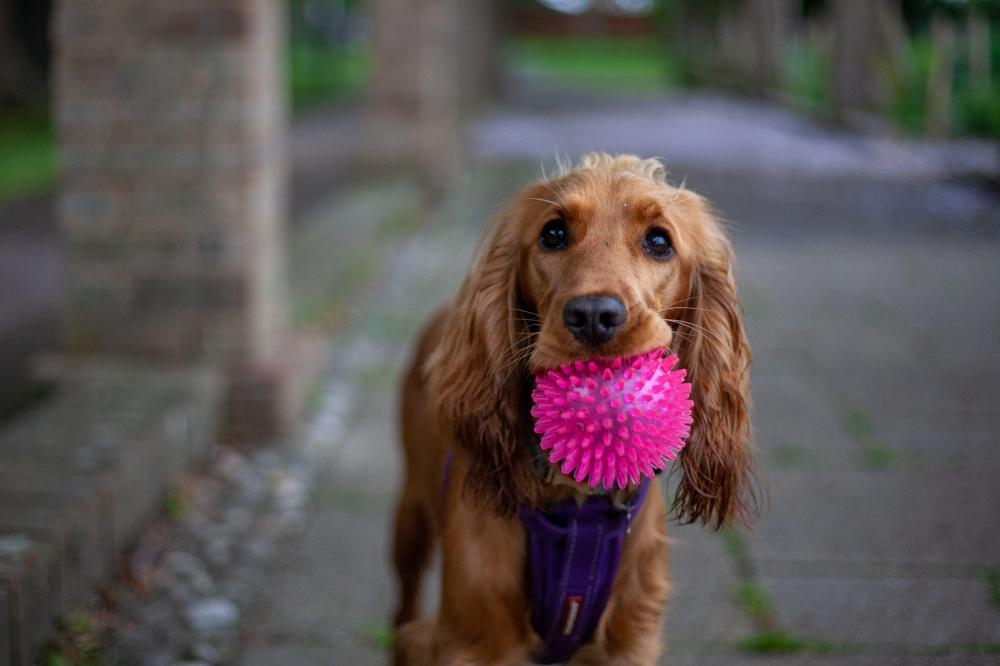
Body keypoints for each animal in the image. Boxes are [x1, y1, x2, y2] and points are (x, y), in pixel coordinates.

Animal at [394, 153, 752, 660]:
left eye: (658, 241)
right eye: (554, 234)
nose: (594, 315)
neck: (579, 504)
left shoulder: (628, 641)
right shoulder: (476, 639)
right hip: (410, 517)